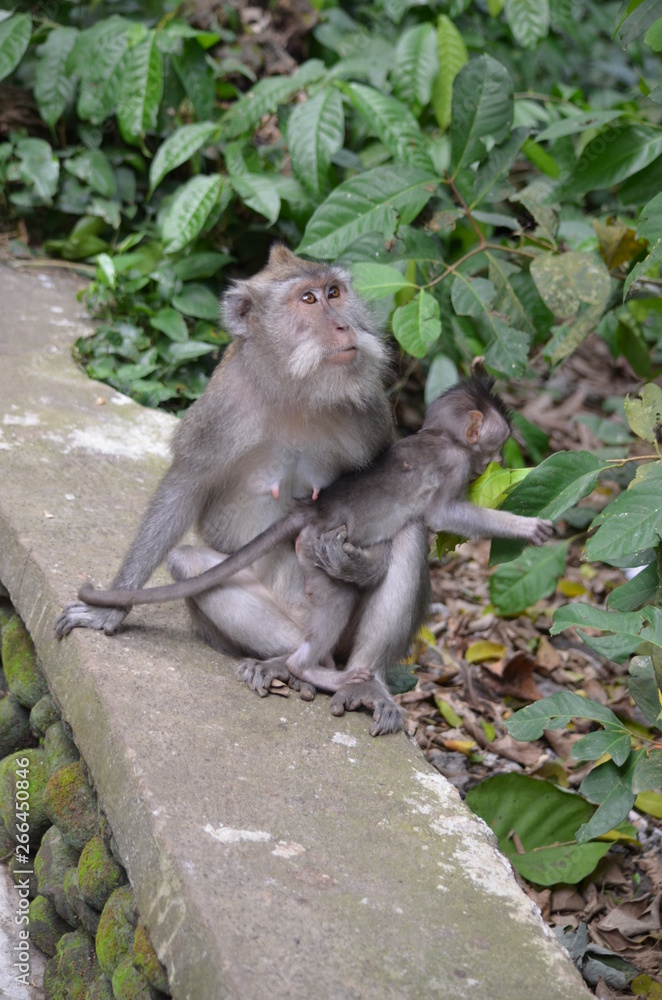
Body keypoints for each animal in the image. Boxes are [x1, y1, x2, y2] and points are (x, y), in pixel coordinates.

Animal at [56, 243, 427, 735]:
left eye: (334, 293)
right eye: (308, 299)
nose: (344, 326)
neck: (295, 388)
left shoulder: (370, 409)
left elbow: (395, 494)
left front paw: (361, 566)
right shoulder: (220, 408)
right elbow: (183, 489)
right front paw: (108, 610)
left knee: (411, 531)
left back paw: (366, 680)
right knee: (191, 564)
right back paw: (289, 664)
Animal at [76, 379, 553, 729]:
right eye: (495, 447)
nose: (496, 464)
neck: (439, 437)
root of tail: (312, 510)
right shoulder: (452, 466)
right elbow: (442, 514)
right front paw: (526, 526)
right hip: (313, 552)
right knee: (381, 556)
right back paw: (307, 667)